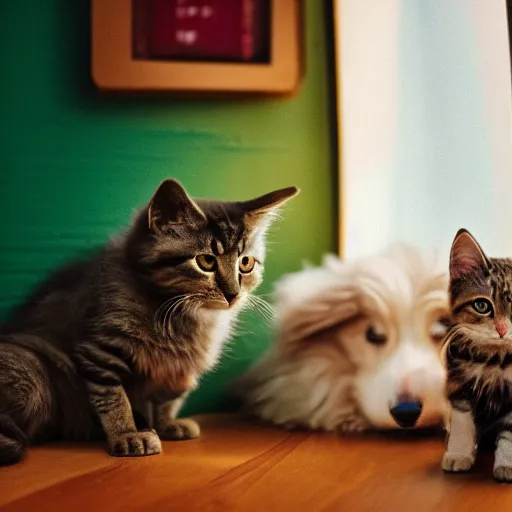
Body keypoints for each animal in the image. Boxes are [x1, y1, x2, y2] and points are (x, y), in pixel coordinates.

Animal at [0, 179, 296, 464]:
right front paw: (127, 434)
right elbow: (113, 398)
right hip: (30, 371)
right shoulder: (100, 349)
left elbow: (167, 398)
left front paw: (166, 424)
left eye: (246, 264)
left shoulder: (180, 369)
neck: (183, 315)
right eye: (206, 261)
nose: (232, 293)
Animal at [442, 230, 512, 482]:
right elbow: (462, 426)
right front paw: (459, 454)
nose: (502, 329)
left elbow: (509, 435)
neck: (492, 359)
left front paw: (507, 465)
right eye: (482, 305)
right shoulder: (458, 388)